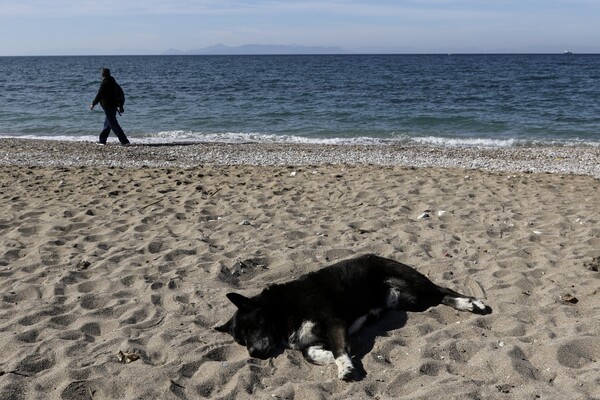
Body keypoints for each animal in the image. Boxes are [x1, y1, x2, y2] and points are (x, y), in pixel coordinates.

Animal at [216, 255, 492, 380]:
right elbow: (311, 355)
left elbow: (339, 350)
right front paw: (332, 359)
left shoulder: (334, 322)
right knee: (439, 298)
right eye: (240, 341)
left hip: (413, 286)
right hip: (410, 301)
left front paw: (345, 365)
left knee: (443, 290)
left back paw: (473, 303)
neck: (283, 310)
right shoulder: (313, 340)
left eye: (251, 327)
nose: (252, 353)